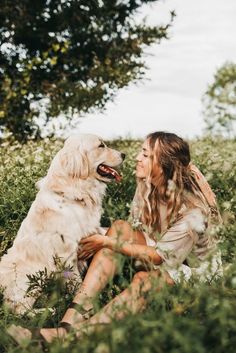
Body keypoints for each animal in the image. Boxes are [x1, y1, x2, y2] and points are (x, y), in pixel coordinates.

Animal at [0, 133, 125, 312]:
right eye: (101, 146)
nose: (124, 155)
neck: (75, 193)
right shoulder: (67, 254)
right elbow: (77, 282)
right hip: (31, 277)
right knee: (21, 310)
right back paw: (48, 310)